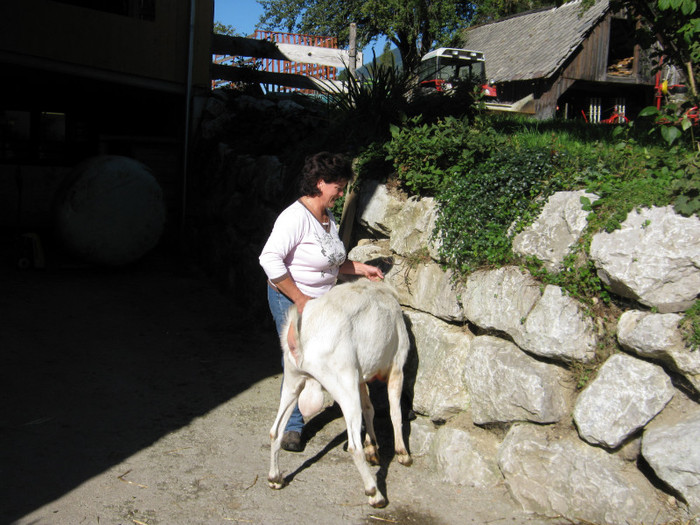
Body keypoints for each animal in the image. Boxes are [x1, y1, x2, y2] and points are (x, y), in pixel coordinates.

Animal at [266, 280, 410, 506]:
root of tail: (302, 340)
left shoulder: (361, 377)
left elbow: (369, 409)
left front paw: (373, 448)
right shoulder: (397, 366)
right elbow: (395, 412)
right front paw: (403, 454)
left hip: (292, 380)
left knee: (276, 430)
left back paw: (275, 478)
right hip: (344, 385)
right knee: (353, 447)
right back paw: (375, 494)